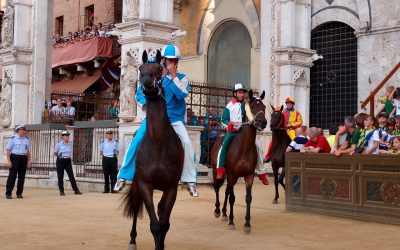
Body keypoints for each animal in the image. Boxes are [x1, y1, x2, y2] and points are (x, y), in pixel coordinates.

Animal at [122, 50, 184, 250]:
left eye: (158, 68)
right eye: (141, 67)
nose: (146, 81)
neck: (157, 143)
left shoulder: (171, 187)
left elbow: (164, 224)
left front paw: (161, 245)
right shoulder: (145, 185)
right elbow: (155, 225)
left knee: (161, 210)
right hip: (136, 184)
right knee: (135, 206)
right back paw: (132, 240)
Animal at [211, 91, 268, 233]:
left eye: (264, 107)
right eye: (252, 106)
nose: (263, 122)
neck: (244, 147)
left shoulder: (249, 175)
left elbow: (248, 198)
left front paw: (247, 224)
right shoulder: (232, 175)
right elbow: (232, 198)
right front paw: (232, 222)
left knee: (226, 190)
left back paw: (224, 213)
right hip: (217, 171)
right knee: (217, 187)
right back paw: (218, 210)